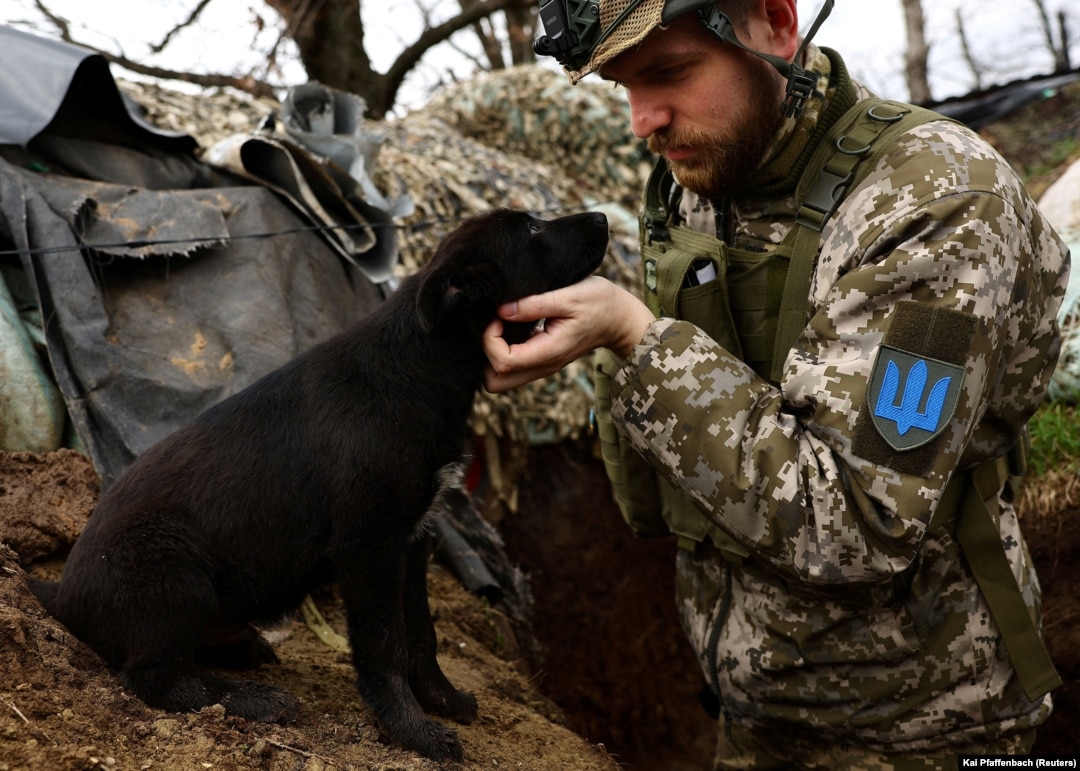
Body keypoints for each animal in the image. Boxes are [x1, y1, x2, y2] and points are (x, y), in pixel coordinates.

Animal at [31, 207, 609, 760]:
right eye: (532, 230)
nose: (604, 217)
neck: (418, 366)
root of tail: (64, 597)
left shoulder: (411, 540)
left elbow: (422, 633)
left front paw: (440, 700)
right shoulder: (368, 548)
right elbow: (384, 647)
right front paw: (412, 731)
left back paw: (242, 648)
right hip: (173, 568)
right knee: (152, 677)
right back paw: (252, 699)